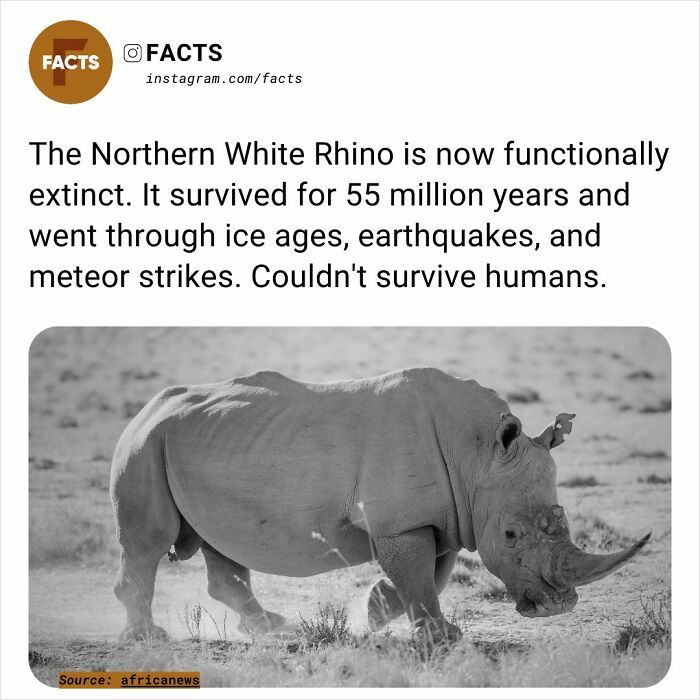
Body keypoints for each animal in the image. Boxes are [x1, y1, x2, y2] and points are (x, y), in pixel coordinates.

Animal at [110, 368, 650, 641]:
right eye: (511, 536)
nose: (557, 608)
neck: (479, 455)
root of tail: (144, 409)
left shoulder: (441, 517)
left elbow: (430, 574)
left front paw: (374, 615)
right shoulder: (403, 522)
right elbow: (419, 576)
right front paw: (443, 640)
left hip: (194, 446)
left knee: (221, 544)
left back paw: (270, 628)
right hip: (144, 445)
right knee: (148, 542)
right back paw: (149, 638)